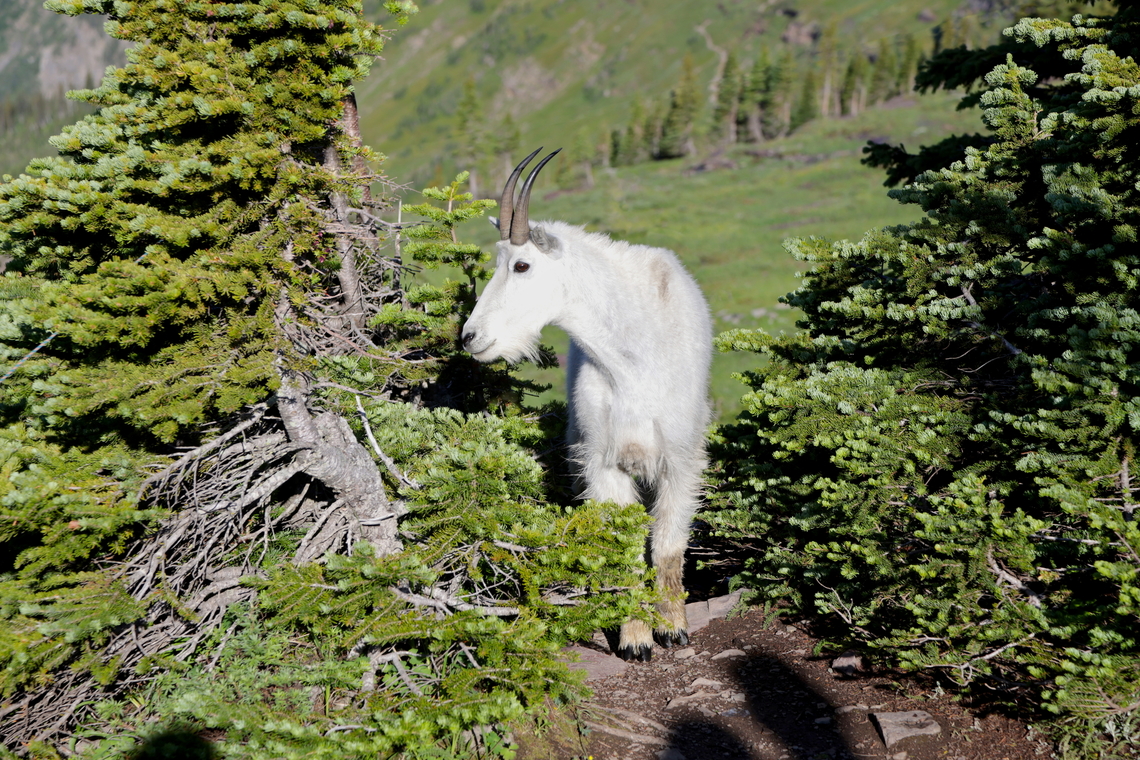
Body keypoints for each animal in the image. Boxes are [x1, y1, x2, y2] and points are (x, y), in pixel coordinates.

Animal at [461, 148, 713, 661]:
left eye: (521, 266)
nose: (471, 337)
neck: (632, 357)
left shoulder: (680, 460)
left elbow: (667, 546)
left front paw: (672, 629)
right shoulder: (604, 461)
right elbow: (622, 547)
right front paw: (635, 639)